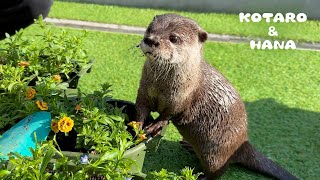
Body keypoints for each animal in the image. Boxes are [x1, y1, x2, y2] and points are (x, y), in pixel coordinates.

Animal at [135, 13, 298, 179]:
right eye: (150, 29)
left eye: (173, 38)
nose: (150, 40)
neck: (161, 86)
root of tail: (243, 142)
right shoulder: (144, 90)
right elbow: (141, 107)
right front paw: (138, 126)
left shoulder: (181, 99)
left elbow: (168, 114)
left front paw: (155, 125)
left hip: (216, 153)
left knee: (219, 170)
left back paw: (201, 175)